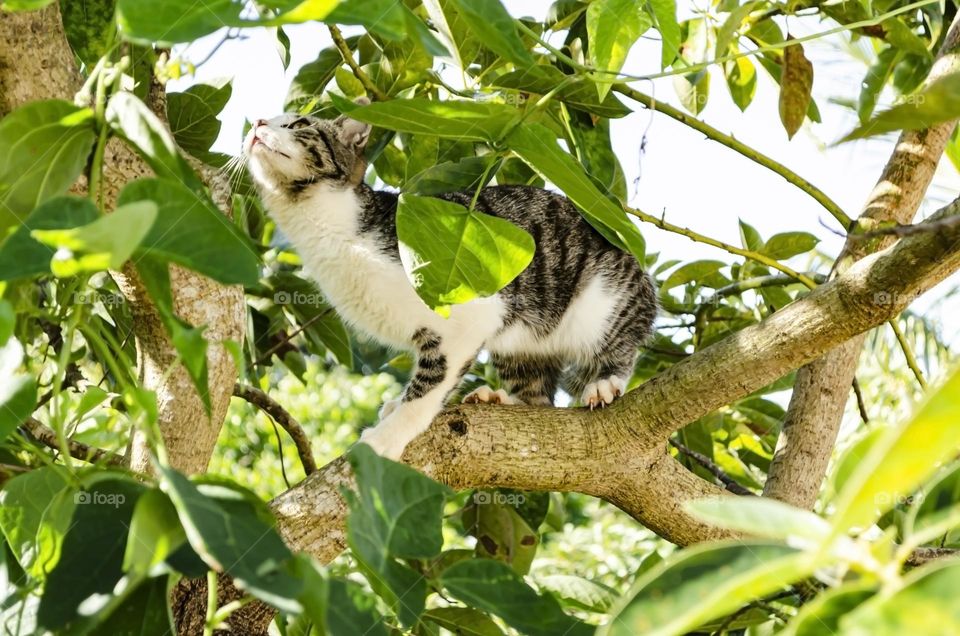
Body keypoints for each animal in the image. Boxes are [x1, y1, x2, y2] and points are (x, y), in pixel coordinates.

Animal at [244, 105, 656, 462]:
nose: (257, 122)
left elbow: (430, 385)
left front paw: (387, 436)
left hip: (603, 302)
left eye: (298, 124)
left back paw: (605, 382)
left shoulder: (470, 313)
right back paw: (503, 398)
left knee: (619, 343)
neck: (330, 230)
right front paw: (396, 406)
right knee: (538, 397)